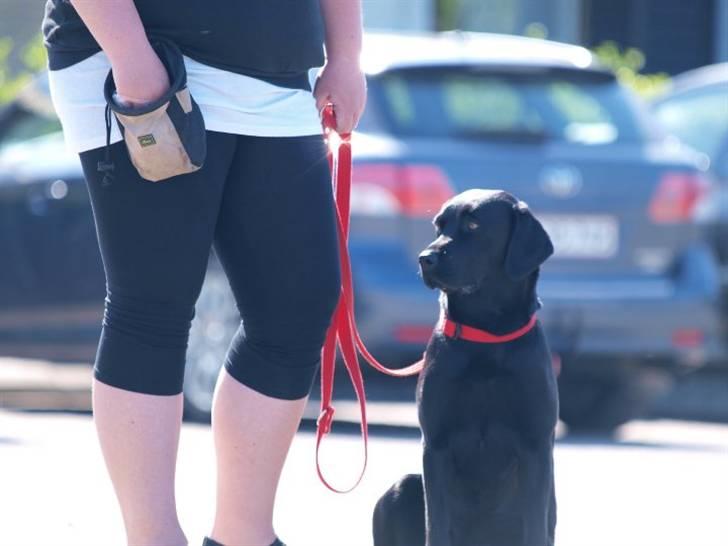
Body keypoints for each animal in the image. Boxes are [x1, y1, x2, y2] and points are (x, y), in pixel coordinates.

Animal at [376, 188, 556, 544]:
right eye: (438, 225)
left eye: (473, 224)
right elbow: (436, 525)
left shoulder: (536, 447)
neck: (485, 337)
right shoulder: (435, 445)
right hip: (399, 489)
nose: (425, 258)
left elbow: (534, 525)